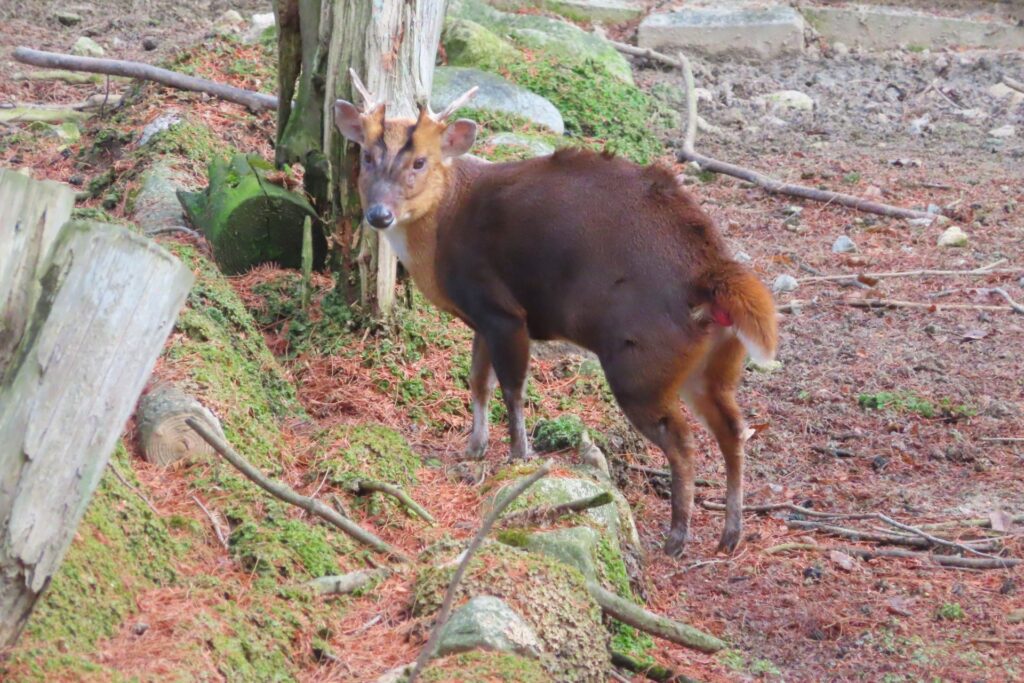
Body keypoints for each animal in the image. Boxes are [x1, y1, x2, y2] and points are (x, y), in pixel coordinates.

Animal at [333, 72, 774, 557]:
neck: (443, 228)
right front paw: (473, 448)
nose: (379, 214)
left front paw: (519, 455)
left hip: (641, 360)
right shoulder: (482, 318)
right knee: (733, 430)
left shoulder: (504, 310)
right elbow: (477, 382)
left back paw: (677, 536)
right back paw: (730, 534)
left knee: (682, 439)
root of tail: (711, 273)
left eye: (420, 162)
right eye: (367, 156)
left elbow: (512, 387)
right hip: (712, 365)